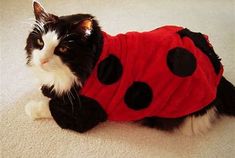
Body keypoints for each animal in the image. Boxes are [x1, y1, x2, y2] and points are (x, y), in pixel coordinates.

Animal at [24, 0, 235, 135]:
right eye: (40, 42)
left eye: (63, 49)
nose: (42, 60)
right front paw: (47, 89)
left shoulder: (83, 114)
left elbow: (51, 106)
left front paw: (32, 108)